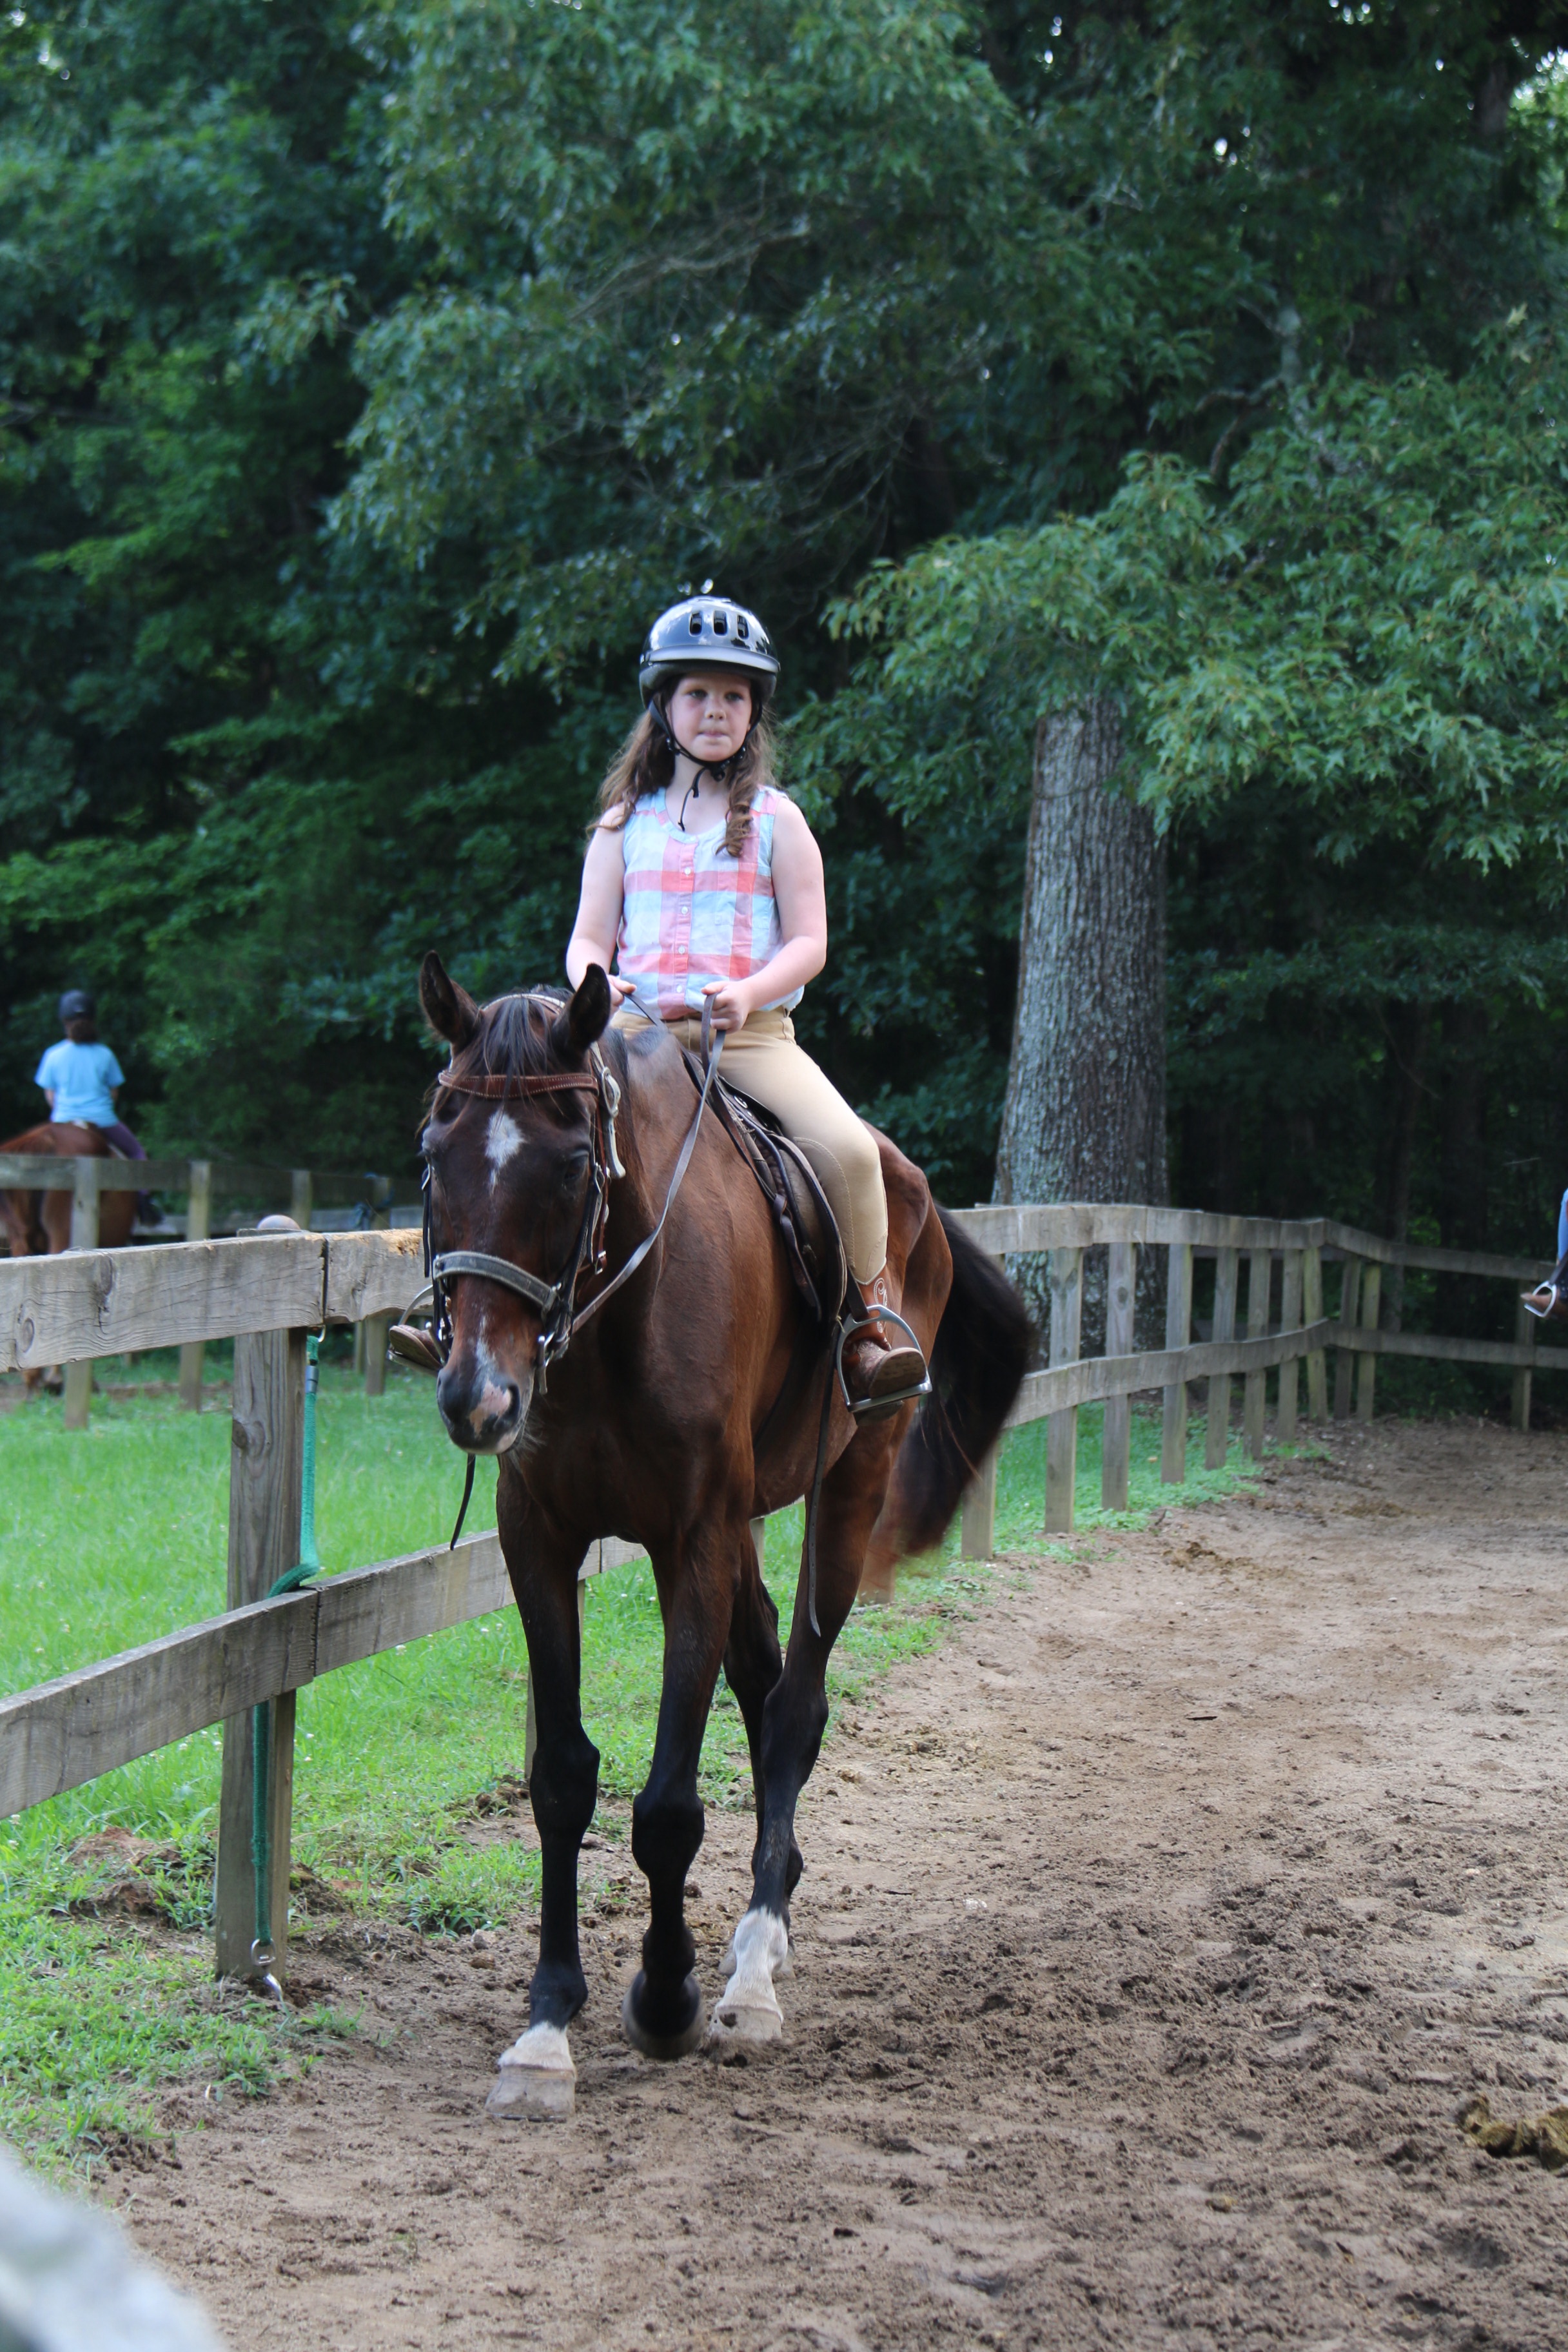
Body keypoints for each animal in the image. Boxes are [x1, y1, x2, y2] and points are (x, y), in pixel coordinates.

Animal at [416, 952, 1030, 2118]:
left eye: (574, 1165)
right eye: (433, 1153)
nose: (479, 1395)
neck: (615, 1316)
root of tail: (915, 1190)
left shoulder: (689, 1537)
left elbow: (665, 1802)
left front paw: (666, 1997)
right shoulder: (539, 1539)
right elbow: (561, 1778)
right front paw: (545, 2023)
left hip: (849, 1483)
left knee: (795, 1701)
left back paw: (750, 1964)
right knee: (759, 1672)